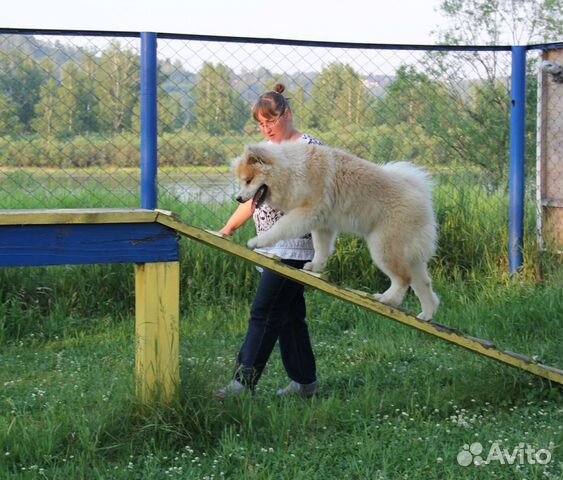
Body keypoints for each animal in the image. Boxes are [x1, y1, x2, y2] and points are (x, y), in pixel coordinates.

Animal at [232, 143, 440, 322]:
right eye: (241, 183)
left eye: (248, 181)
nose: (238, 198)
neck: (292, 170)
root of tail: (421, 198)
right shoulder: (322, 224)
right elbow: (321, 248)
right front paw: (315, 266)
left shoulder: (306, 212)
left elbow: (281, 228)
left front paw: (257, 241)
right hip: (409, 255)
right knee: (423, 283)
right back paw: (427, 314)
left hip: (384, 248)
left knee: (402, 279)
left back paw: (387, 299)